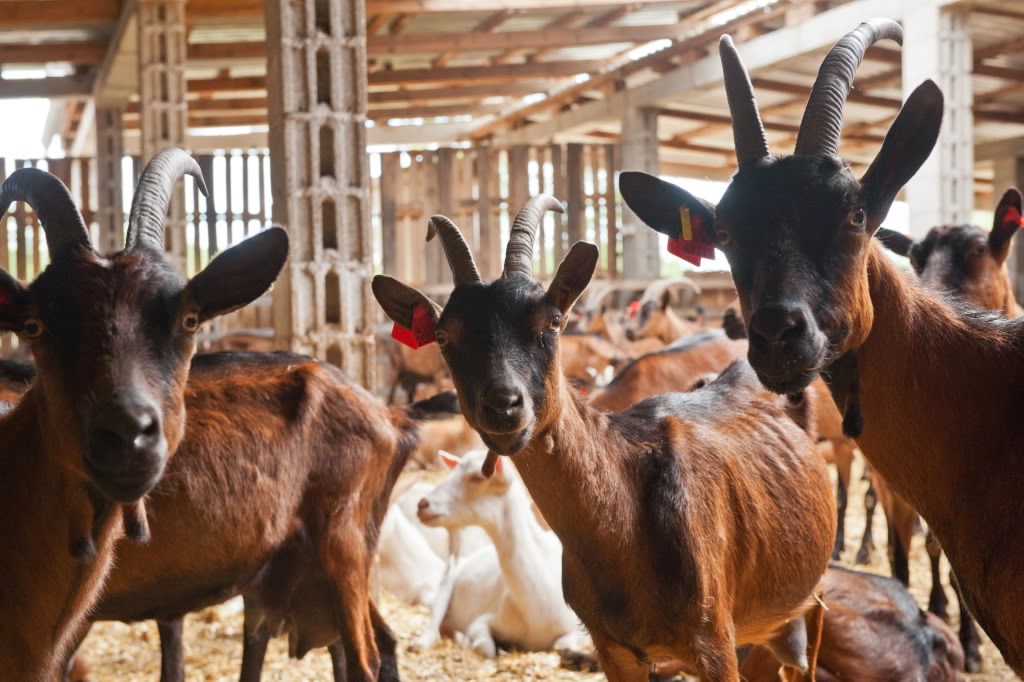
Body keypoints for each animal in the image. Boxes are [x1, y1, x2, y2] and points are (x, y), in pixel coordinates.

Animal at [416, 449, 588, 657]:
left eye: (477, 477)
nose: (422, 504)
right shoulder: (485, 619)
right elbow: (486, 647)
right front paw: (470, 641)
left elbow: (562, 644)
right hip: (446, 582)